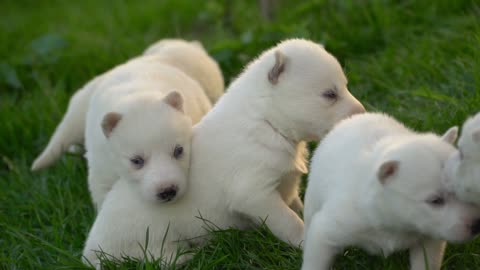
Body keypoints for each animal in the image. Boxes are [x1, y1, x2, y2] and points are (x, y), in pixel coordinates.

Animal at [31, 38, 223, 207]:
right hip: (79, 107)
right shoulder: (102, 165)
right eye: (136, 161)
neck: (136, 95)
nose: (167, 191)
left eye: (179, 150)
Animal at [302, 112, 480, 270]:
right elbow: (315, 259)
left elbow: (426, 262)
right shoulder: (330, 227)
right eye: (435, 201)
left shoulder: (429, 238)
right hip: (312, 198)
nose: (476, 225)